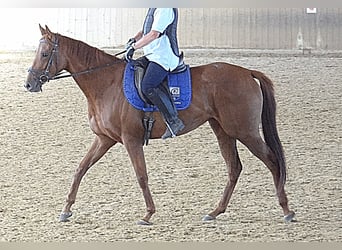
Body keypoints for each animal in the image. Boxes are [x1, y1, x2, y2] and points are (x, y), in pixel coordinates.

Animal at [25, 24, 296, 225]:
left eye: (45, 54)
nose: (29, 84)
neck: (106, 83)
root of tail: (247, 72)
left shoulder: (131, 140)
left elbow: (141, 175)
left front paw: (148, 214)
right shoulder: (105, 139)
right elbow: (80, 169)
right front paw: (66, 210)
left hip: (244, 131)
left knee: (272, 161)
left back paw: (286, 210)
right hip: (223, 130)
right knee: (234, 168)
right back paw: (215, 211)